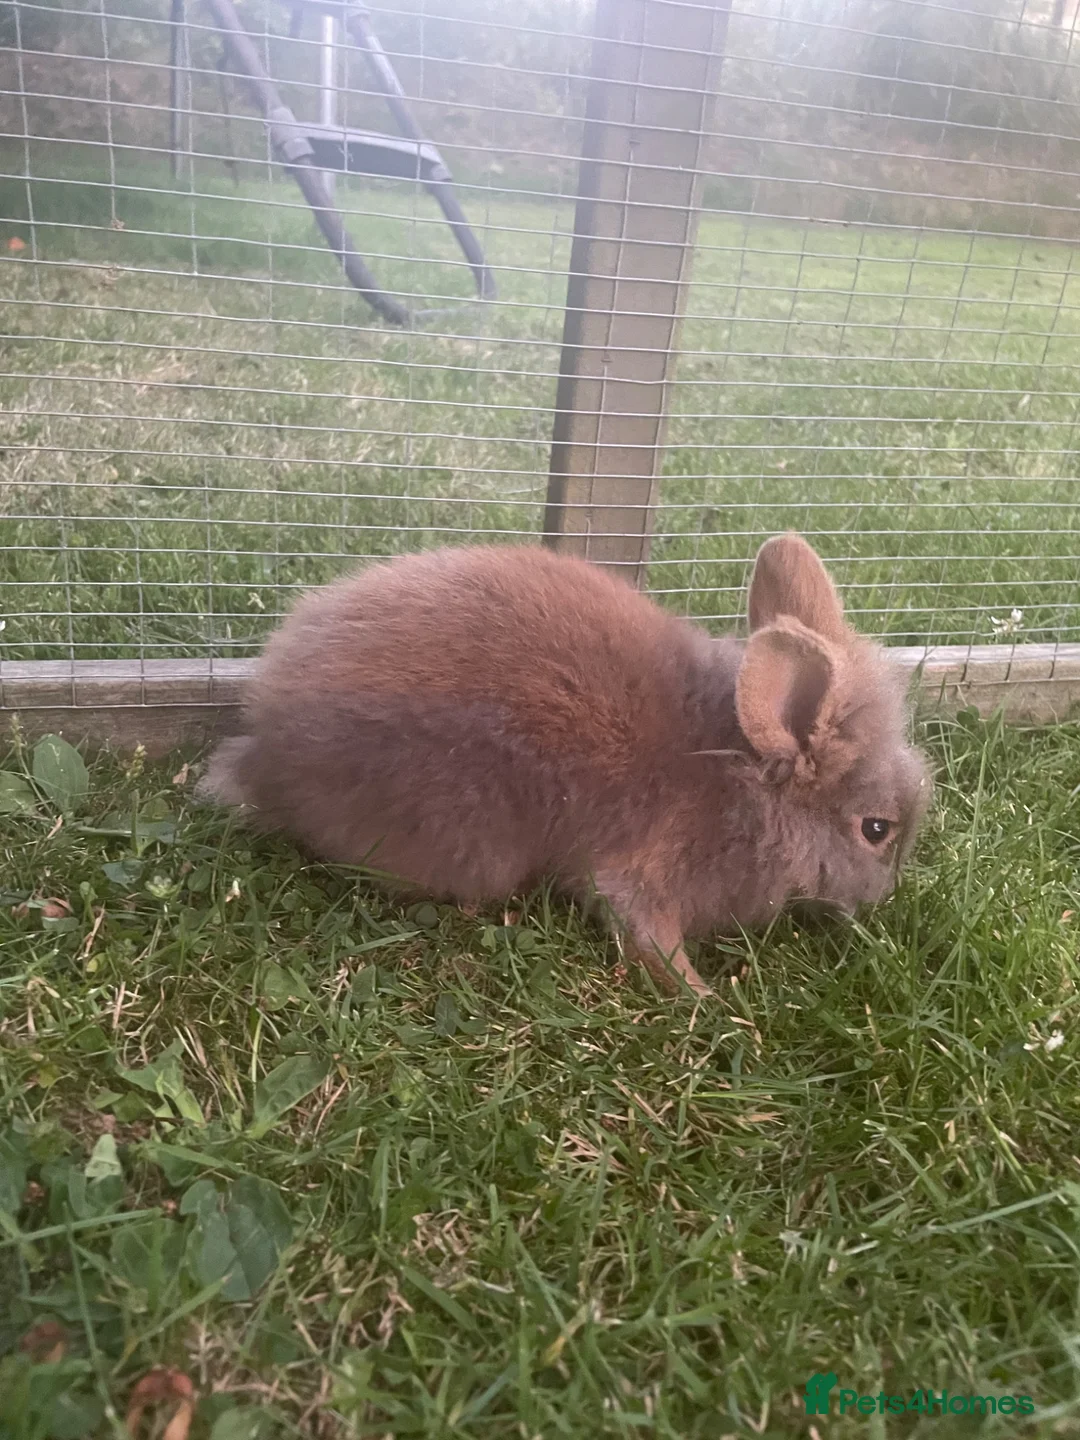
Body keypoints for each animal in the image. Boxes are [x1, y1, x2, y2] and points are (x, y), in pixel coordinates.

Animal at [198, 534, 931, 998]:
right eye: (876, 830)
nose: (883, 898)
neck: (743, 783)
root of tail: (265, 738)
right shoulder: (639, 874)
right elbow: (646, 932)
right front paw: (707, 1002)